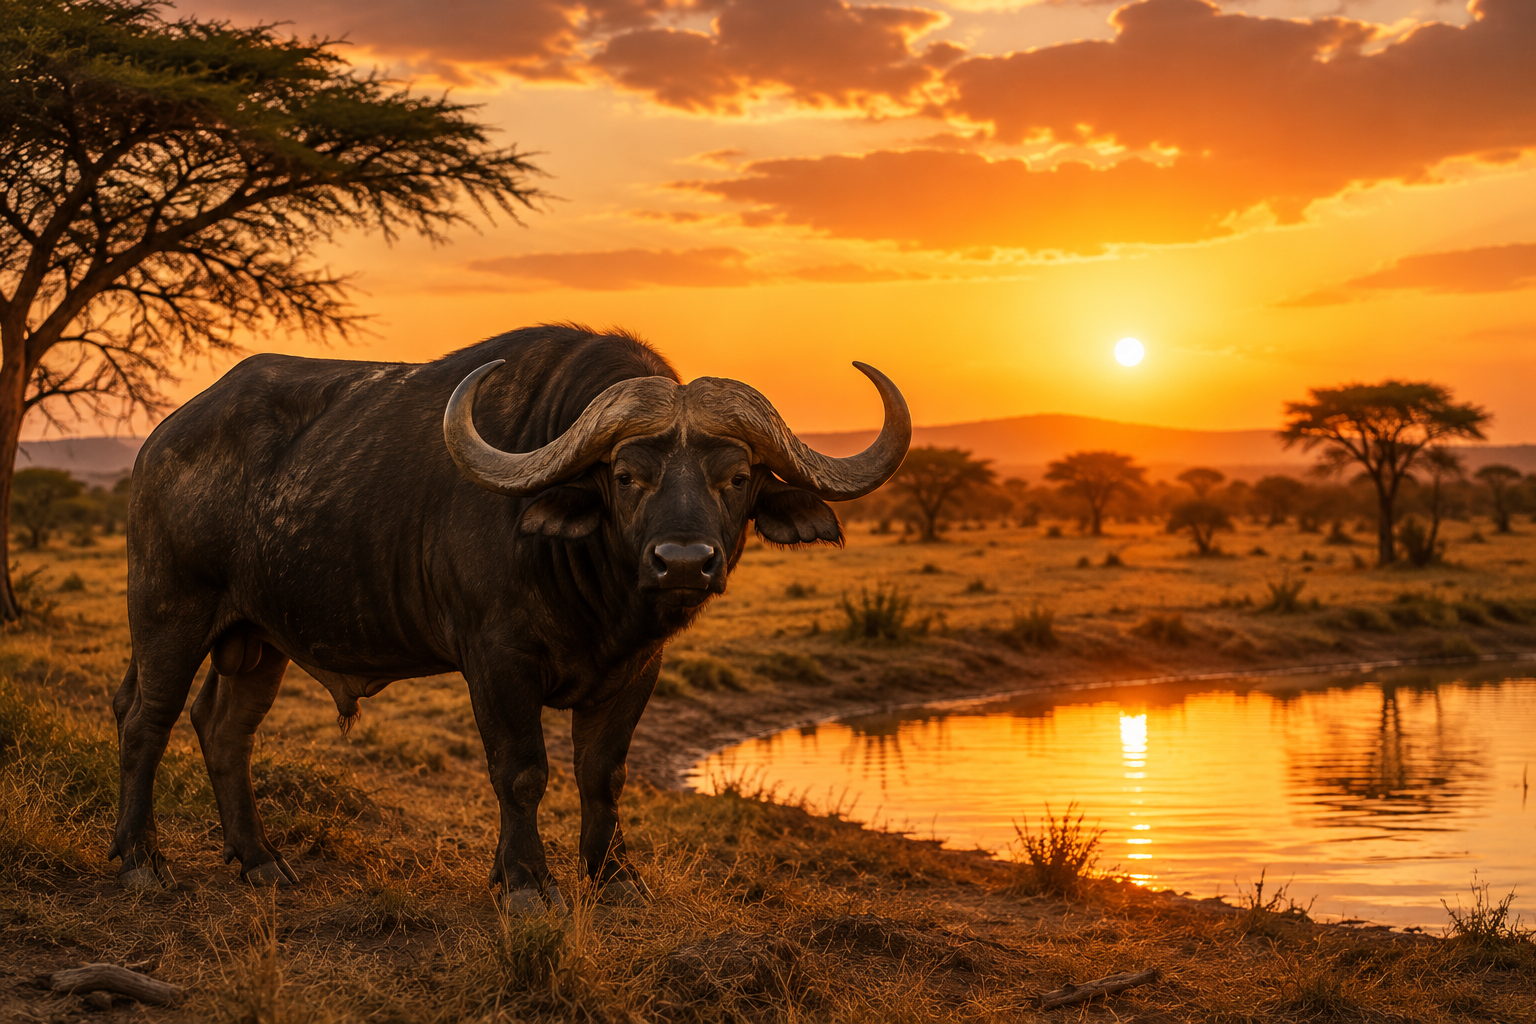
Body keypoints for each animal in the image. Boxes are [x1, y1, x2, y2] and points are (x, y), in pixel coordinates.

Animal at [110, 324, 909, 911]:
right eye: (627, 475)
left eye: (736, 478)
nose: (684, 562)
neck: (596, 594)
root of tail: (161, 442)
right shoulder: (497, 662)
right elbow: (523, 770)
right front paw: (526, 883)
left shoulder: (636, 671)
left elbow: (604, 773)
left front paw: (614, 877)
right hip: (168, 610)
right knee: (146, 717)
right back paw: (138, 860)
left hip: (256, 639)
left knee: (224, 728)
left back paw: (260, 862)